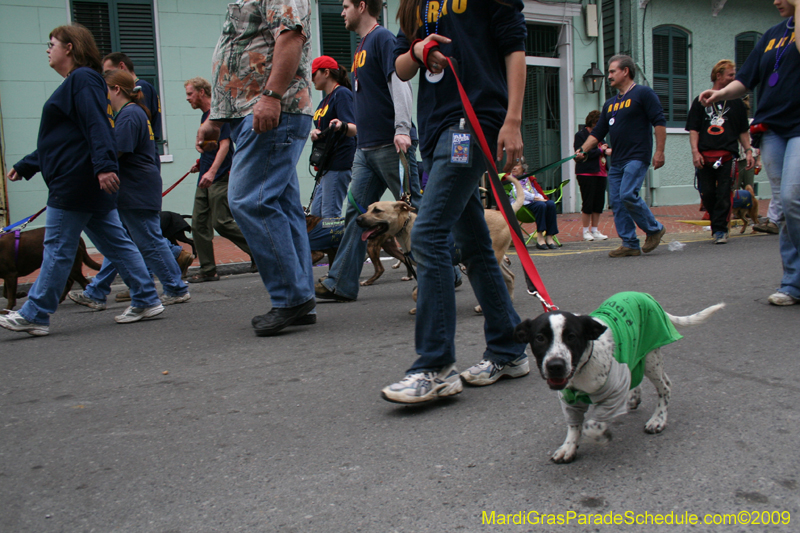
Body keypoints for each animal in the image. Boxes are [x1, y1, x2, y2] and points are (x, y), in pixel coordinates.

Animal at [512, 290, 724, 462]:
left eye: (571, 337)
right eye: (540, 338)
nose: (555, 366)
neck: (582, 369)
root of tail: (645, 295)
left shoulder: (614, 393)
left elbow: (592, 424)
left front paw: (601, 435)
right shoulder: (568, 399)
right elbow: (574, 425)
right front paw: (569, 447)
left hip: (651, 358)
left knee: (665, 386)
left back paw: (658, 419)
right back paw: (635, 398)